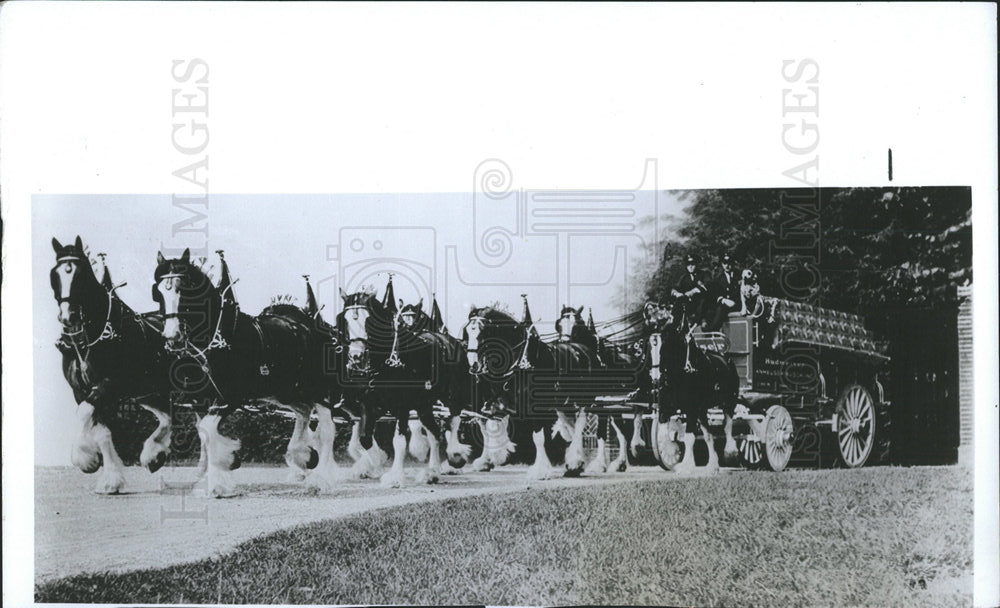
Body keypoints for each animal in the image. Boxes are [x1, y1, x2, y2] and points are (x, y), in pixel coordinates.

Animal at [49, 238, 174, 494]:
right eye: (55, 275)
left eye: (81, 275)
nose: (68, 316)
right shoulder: (82, 391)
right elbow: (102, 432)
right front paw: (110, 479)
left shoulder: (108, 386)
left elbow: (84, 414)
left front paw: (85, 458)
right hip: (147, 391)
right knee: (166, 417)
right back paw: (154, 456)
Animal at [152, 249, 344, 496]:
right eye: (158, 293)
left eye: (184, 288)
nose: (171, 337)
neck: (218, 337)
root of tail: (312, 325)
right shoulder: (200, 399)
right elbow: (203, 433)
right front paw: (206, 478)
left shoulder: (229, 398)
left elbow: (208, 430)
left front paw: (219, 478)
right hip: (285, 392)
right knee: (303, 411)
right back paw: (301, 456)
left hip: (318, 388)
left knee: (327, 428)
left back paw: (321, 479)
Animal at [644, 302, 740, 472]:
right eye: (651, 345)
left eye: (668, 345)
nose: (655, 377)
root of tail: (726, 358)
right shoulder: (666, 407)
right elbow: (664, 434)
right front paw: (671, 452)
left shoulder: (691, 408)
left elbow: (689, 437)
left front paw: (687, 465)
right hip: (702, 410)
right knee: (709, 435)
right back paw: (713, 465)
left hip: (729, 401)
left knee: (727, 427)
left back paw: (730, 453)